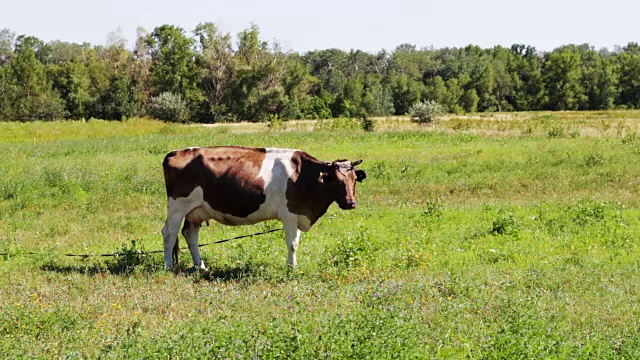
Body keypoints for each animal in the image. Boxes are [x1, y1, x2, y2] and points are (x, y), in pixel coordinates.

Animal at [162, 146, 368, 270]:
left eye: (354, 180)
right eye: (335, 180)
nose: (350, 203)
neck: (303, 176)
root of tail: (176, 152)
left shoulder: (298, 213)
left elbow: (296, 242)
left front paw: (293, 266)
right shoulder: (289, 214)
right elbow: (292, 243)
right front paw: (292, 269)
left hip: (196, 210)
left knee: (190, 235)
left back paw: (201, 266)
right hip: (178, 206)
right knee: (169, 233)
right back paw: (169, 267)